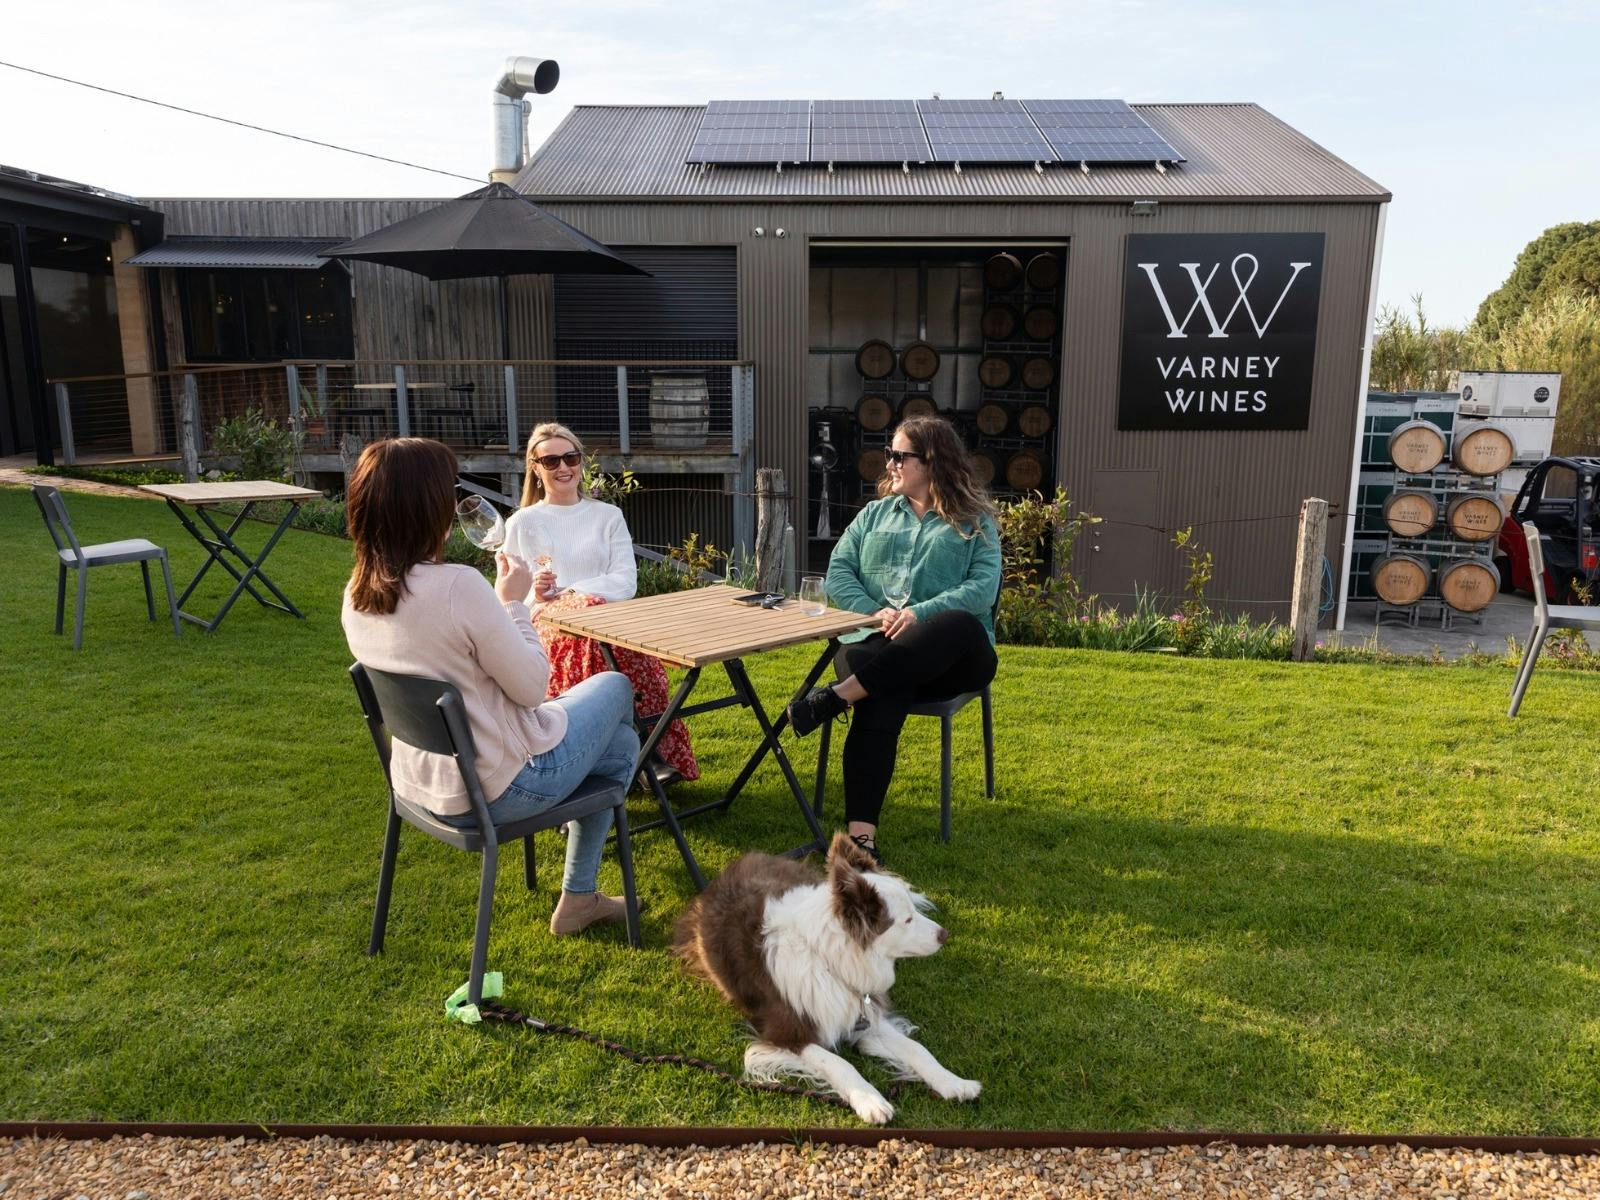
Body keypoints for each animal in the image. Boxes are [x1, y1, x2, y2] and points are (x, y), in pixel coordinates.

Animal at [672, 838, 979, 1126]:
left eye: (912, 913)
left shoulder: (861, 1012)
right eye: (906, 920)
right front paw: (871, 1101)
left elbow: (917, 1049)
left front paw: (954, 1082)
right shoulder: (785, 1032)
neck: (832, 959)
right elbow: (837, 1062)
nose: (944, 934)